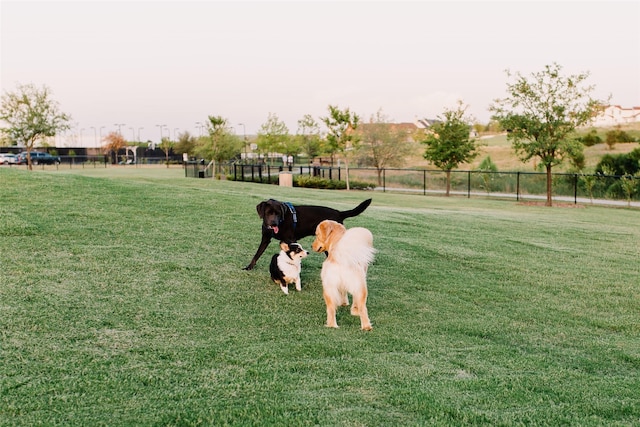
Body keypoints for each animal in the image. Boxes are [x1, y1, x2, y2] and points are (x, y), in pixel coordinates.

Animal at [245, 198, 376, 270]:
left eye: (278, 213)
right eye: (268, 213)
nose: (274, 223)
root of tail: (339, 213)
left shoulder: (291, 239)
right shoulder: (265, 239)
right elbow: (257, 254)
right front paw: (249, 267)